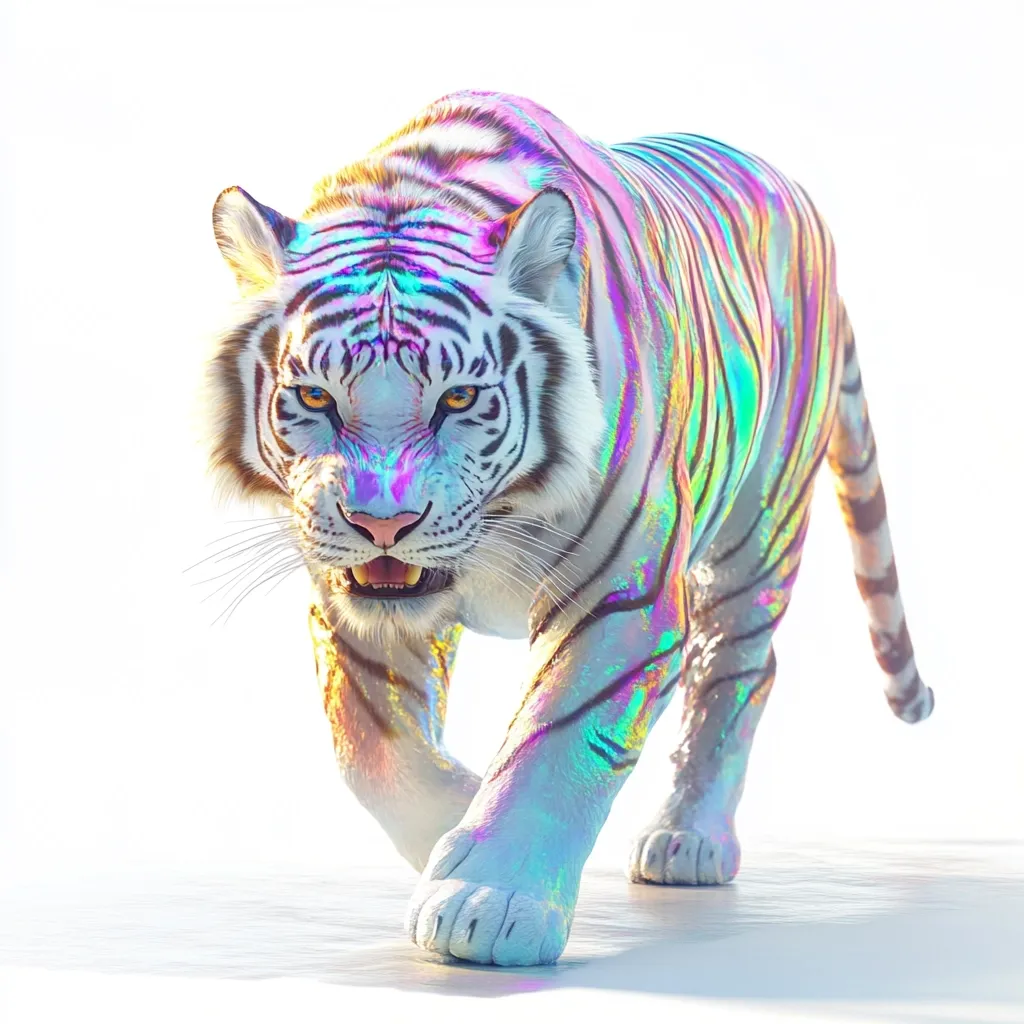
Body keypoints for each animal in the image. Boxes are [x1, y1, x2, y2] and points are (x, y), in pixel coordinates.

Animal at [204, 90, 933, 967]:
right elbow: (370, 748)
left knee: (738, 664)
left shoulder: (620, 592)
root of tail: (792, 189)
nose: (383, 523)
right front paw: (452, 824)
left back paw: (688, 838)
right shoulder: (354, 598)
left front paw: (491, 898)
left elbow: (555, 741)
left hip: (760, 519)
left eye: (459, 398)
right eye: (314, 397)